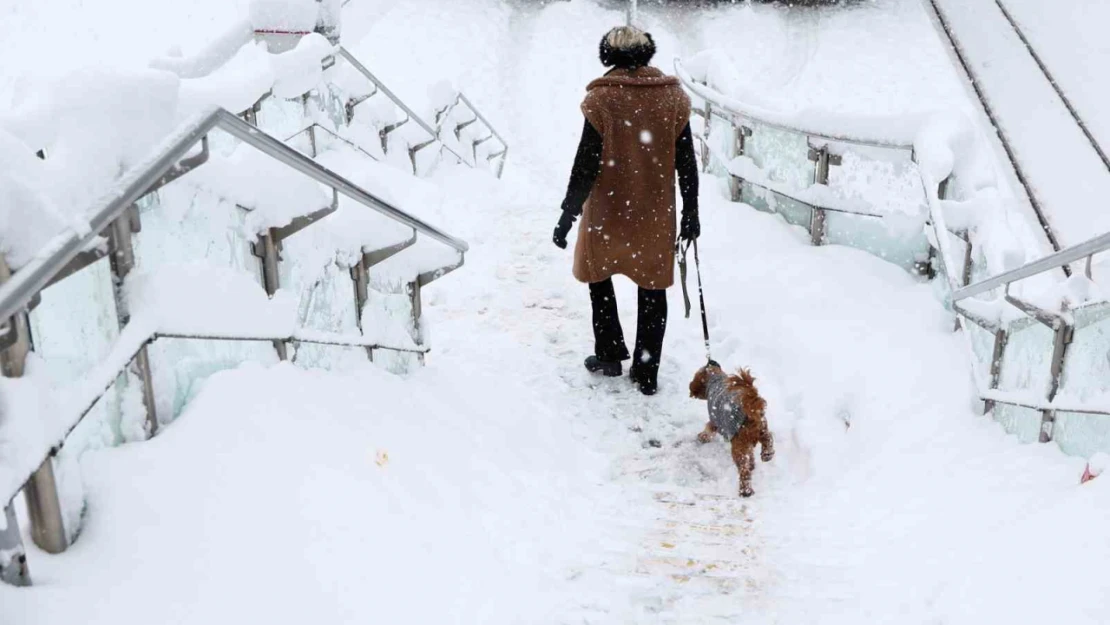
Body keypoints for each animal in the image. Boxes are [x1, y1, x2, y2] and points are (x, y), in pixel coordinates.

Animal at [688, 361, 777, 499]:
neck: (716, 379)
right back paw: (767, 454)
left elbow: (709, 428)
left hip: (738, 443)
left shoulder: (715, 419)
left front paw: (703, 436)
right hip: (761, 428)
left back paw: (745, 491)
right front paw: (753, 464)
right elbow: (751, 453)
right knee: (767, 437)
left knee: (743, 469)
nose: (691, 389)